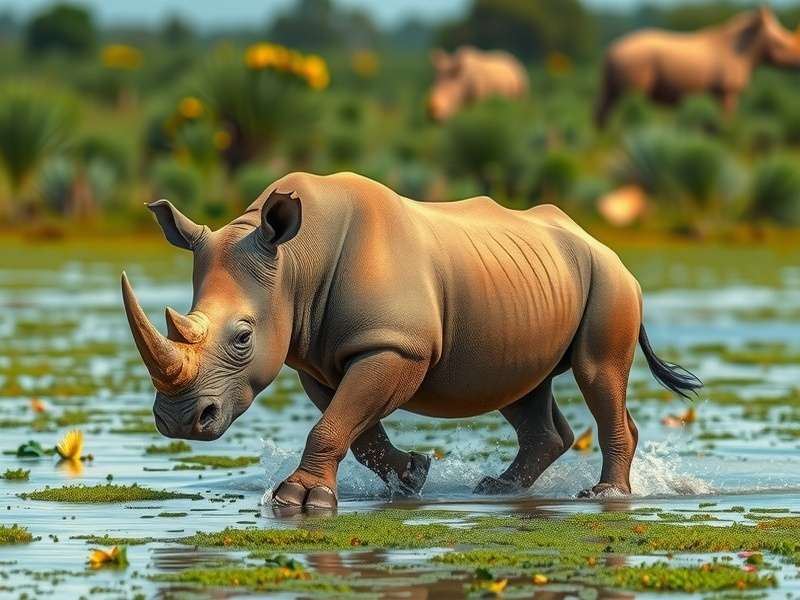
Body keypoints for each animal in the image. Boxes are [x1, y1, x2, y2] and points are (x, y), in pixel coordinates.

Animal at [122, 172, 701, 509]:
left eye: (243, 337)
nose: (179, 422)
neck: (293, 262)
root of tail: (599, 242)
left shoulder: (397, 344)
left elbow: (336, 423)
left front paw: (297, 500)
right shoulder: (320, 360)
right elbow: (355, 428)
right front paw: (412, 477)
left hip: (610, 280)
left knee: (597, 373)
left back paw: (604, 494)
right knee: (520, 387)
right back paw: (497, 489)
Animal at [596, 7, 800, 127]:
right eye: (780, 44)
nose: (797, 63)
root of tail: (611, 48)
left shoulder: (721, 91)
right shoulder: (727, 90)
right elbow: (727, 116)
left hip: (620, 62)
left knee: (608, 101)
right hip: (634, 61)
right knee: (629, 100)